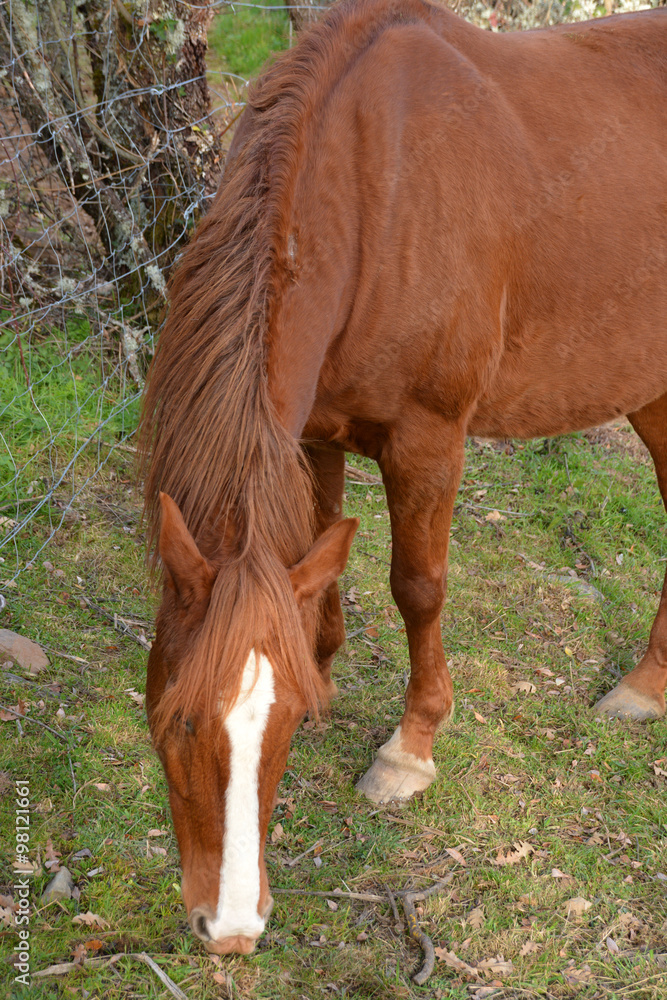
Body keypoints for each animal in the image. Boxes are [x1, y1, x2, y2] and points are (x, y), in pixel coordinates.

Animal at [139, 0, 667, 956]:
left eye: (278, 730)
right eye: (175, 719)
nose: (229, 926)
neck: (375, 200)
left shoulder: (428, 440)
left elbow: (417, 586)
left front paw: (409, 750)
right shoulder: (313, 435)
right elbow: (317, 571)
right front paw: (324, 666)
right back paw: (647, 685)